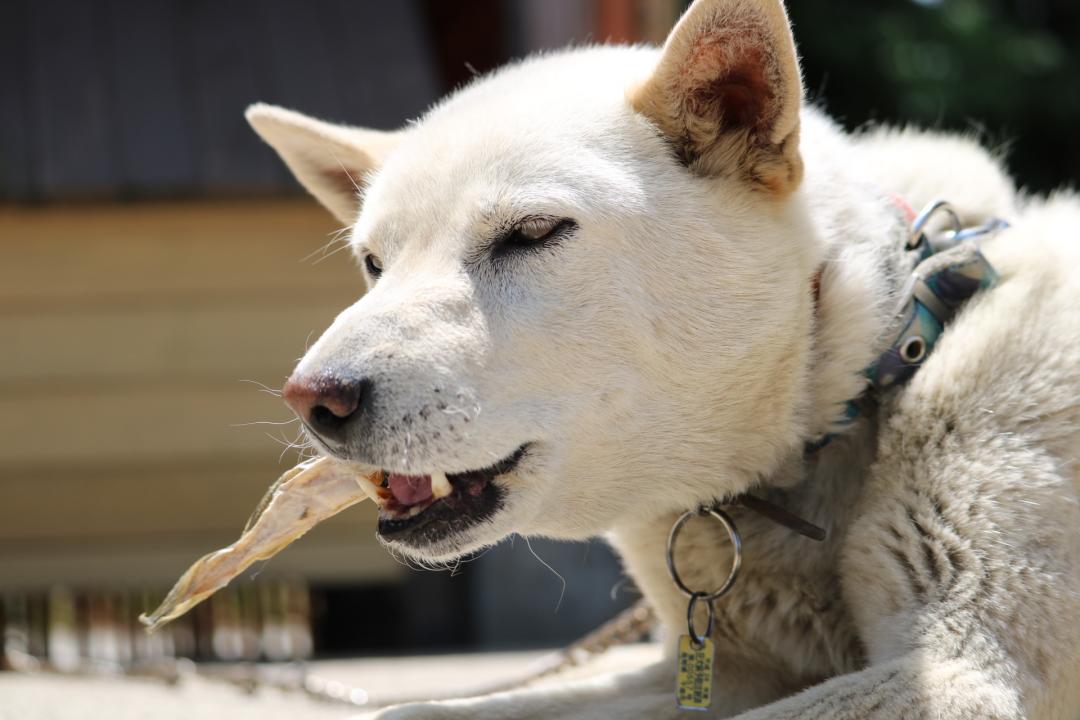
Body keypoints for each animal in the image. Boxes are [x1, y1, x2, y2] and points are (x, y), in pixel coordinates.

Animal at [243, 2, 1080, 716]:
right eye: (374, 264)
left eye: (533, 232)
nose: (312, 400)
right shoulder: (725, 671)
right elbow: (416, 710)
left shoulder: (959, 672)